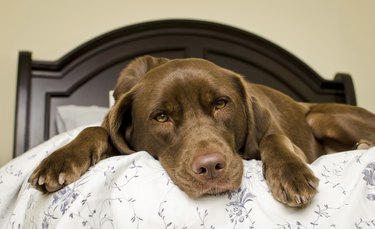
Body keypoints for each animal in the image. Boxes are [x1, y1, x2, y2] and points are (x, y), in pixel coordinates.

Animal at [28, 55, 375, 208]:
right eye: (161, 116)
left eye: (221, 103)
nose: (210, 167)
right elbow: (93, 130)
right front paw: (58, 160)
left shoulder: (279, 137)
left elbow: (275, 138)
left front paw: (291, 173)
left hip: (322, 117)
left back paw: (362, 145)